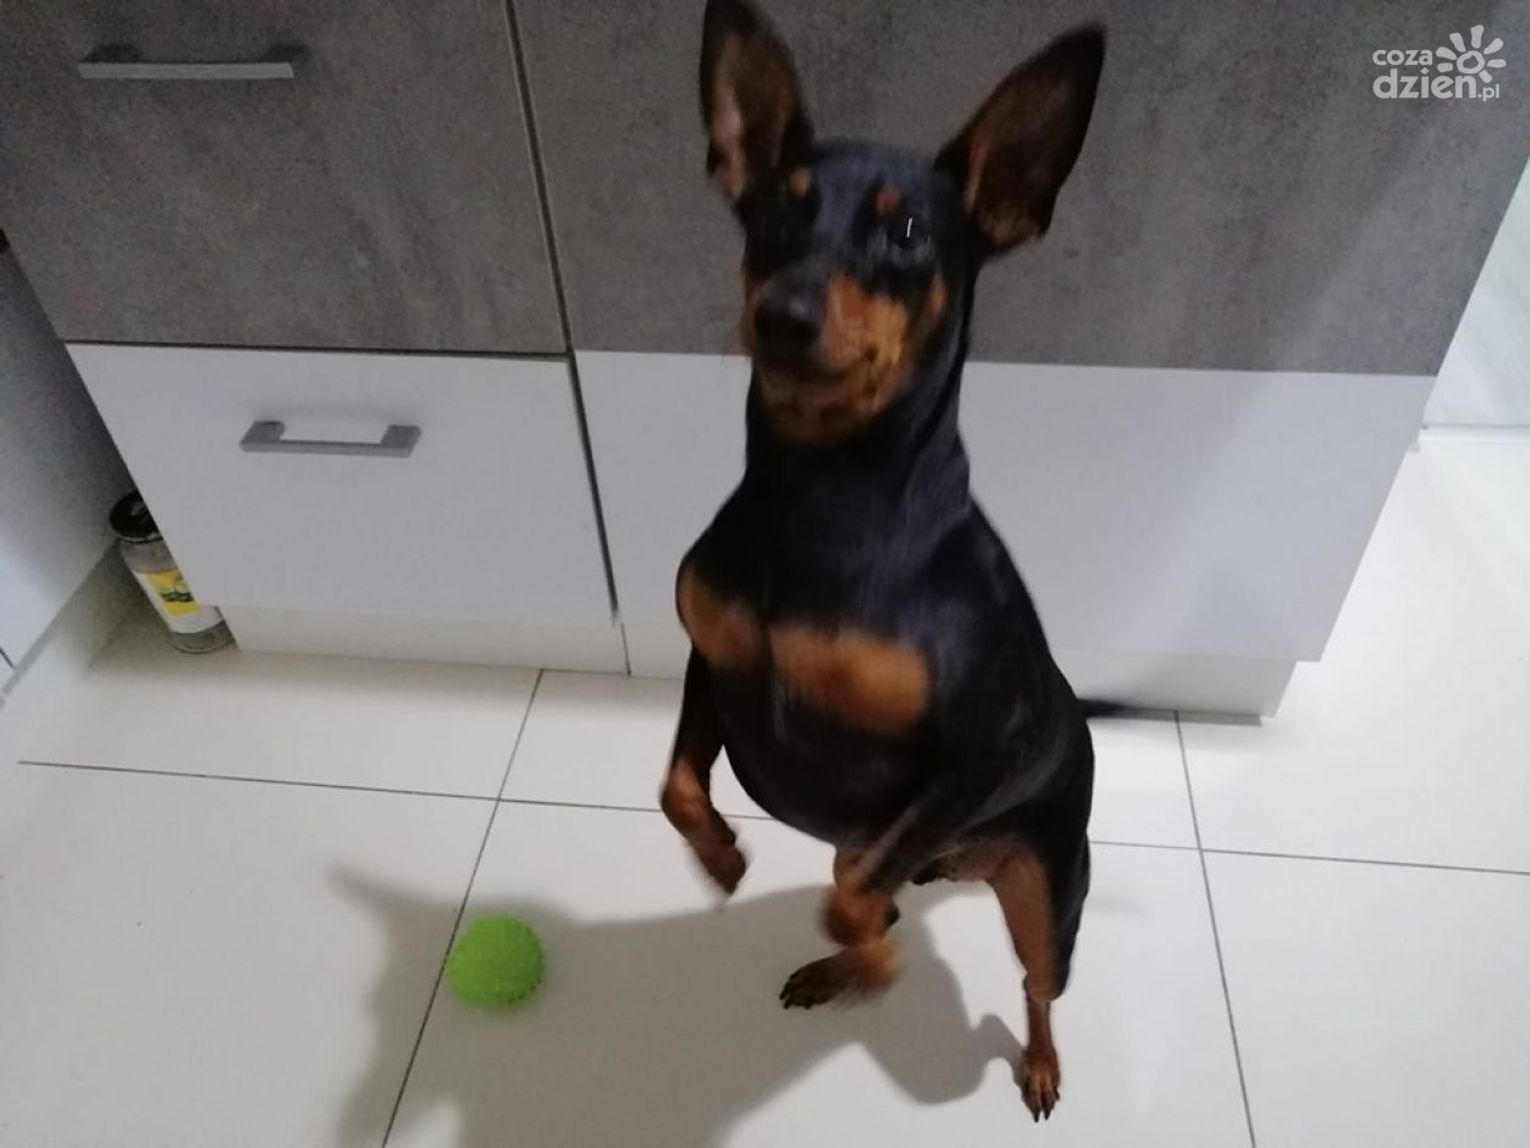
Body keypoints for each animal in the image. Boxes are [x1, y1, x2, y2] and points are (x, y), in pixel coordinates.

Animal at [660, 0, 1107, 1121]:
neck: (820, 496)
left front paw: (866, 961)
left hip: (1048, 888)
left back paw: (1037, 1063)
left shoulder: (977, 756)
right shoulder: (708, 658)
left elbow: (853, 894)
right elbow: (680, 787)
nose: (783, 315)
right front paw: (723, 858)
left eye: (908, 233)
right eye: (772, 218)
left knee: (1036, 984)